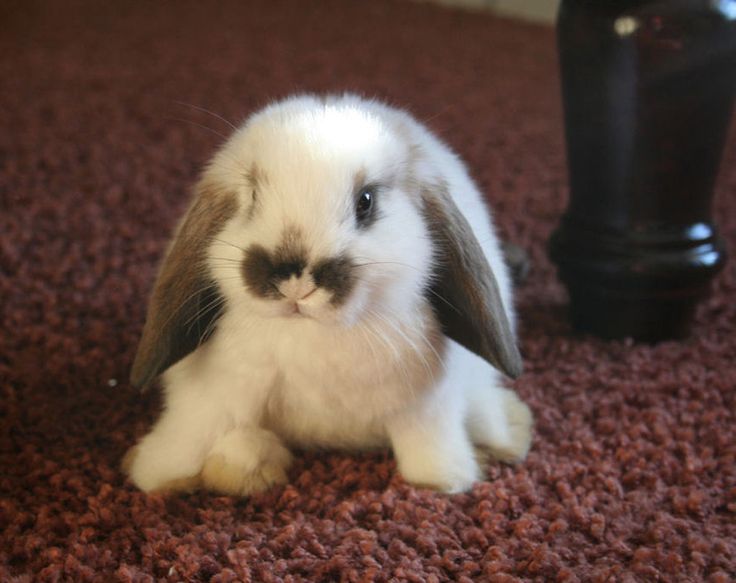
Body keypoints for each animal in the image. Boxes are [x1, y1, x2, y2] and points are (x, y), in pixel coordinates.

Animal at [123, 93, 532, 496]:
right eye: (252, 195)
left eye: (365, 201)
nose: (294, 279)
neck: (314, 336)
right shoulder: (213, 396)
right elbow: (191, 434)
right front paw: (158, 475)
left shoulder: (427, 408)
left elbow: (428, 453)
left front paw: (445, 480)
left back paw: (512, 432)